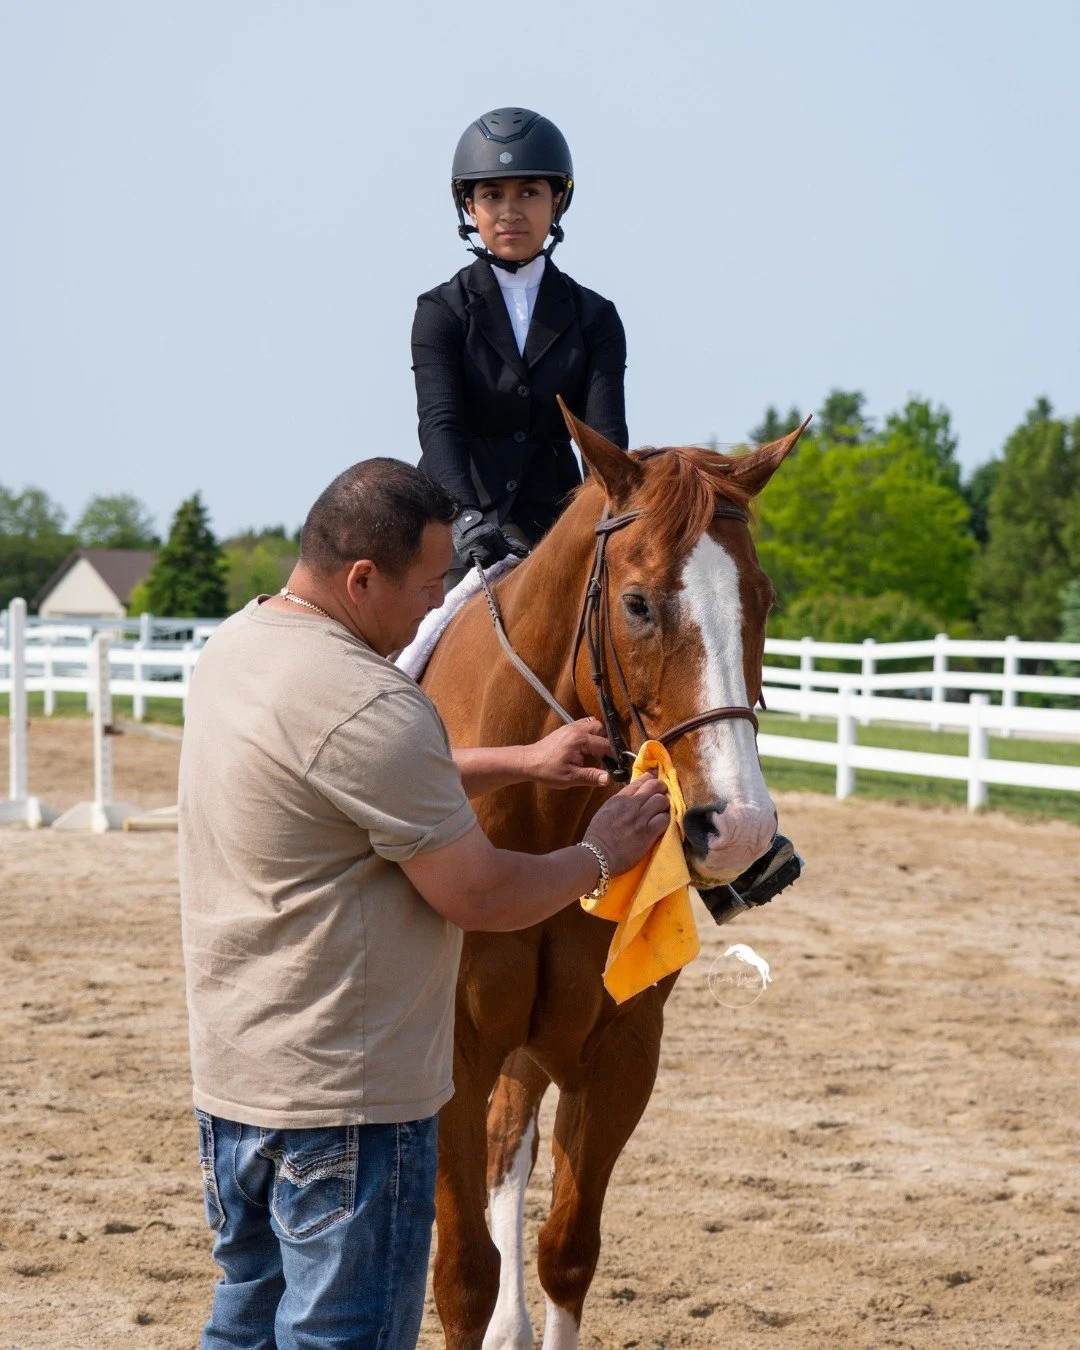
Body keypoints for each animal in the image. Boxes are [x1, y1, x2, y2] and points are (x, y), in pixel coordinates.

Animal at [421, 405, 804, 1349]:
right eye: (636, 603)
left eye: (763, 600)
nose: (738, 829)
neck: (545, 824)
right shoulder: (454, 1050)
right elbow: (462, 1276)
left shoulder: (621, 1052)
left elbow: (567, 1250)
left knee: (509, 1149)